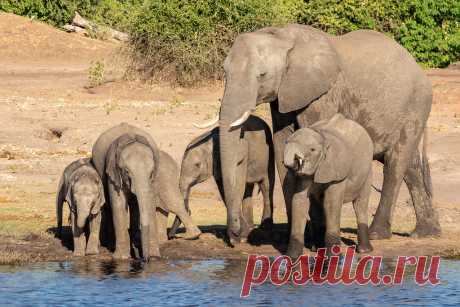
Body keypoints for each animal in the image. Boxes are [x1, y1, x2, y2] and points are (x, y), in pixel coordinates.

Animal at [172, 115, 274, 243]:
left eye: (197, 165)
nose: (171, 236)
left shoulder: (241, 157)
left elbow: (237, 186)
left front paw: (238, 237)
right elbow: (224, 190)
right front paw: (240, 236)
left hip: (269, 152)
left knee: (266, 186)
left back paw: (265, 229)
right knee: (247, 191)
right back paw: (250, 227)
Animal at [284, 114, 374, 258]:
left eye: (312, 150)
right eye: (286, 143)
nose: (292, 164)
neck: (322, 137)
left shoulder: (337, 171)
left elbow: (331, 203)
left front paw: (333, 257)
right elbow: (300, 201)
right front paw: (291, 257)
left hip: (367, 171)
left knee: (360, 204)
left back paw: (365, 251)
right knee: (315, 208)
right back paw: (317, 248)